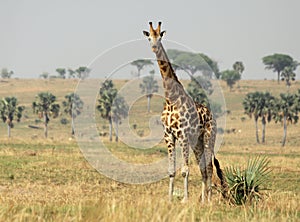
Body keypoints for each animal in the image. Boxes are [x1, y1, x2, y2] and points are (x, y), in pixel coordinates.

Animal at [143, 21, 225, 202]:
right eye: (149, 37)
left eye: (160, 37)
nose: (154, 47)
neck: (171, 99)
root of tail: (212, 116)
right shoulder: (169, 136)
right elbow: (171, 171)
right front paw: (169, 199)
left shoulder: (183, 135)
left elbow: (185, 170)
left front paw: (185, 200)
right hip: (197, 143)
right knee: (203, 169)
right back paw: (202, 201)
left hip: (208, 138)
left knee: (209, 168)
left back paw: (209, 201)